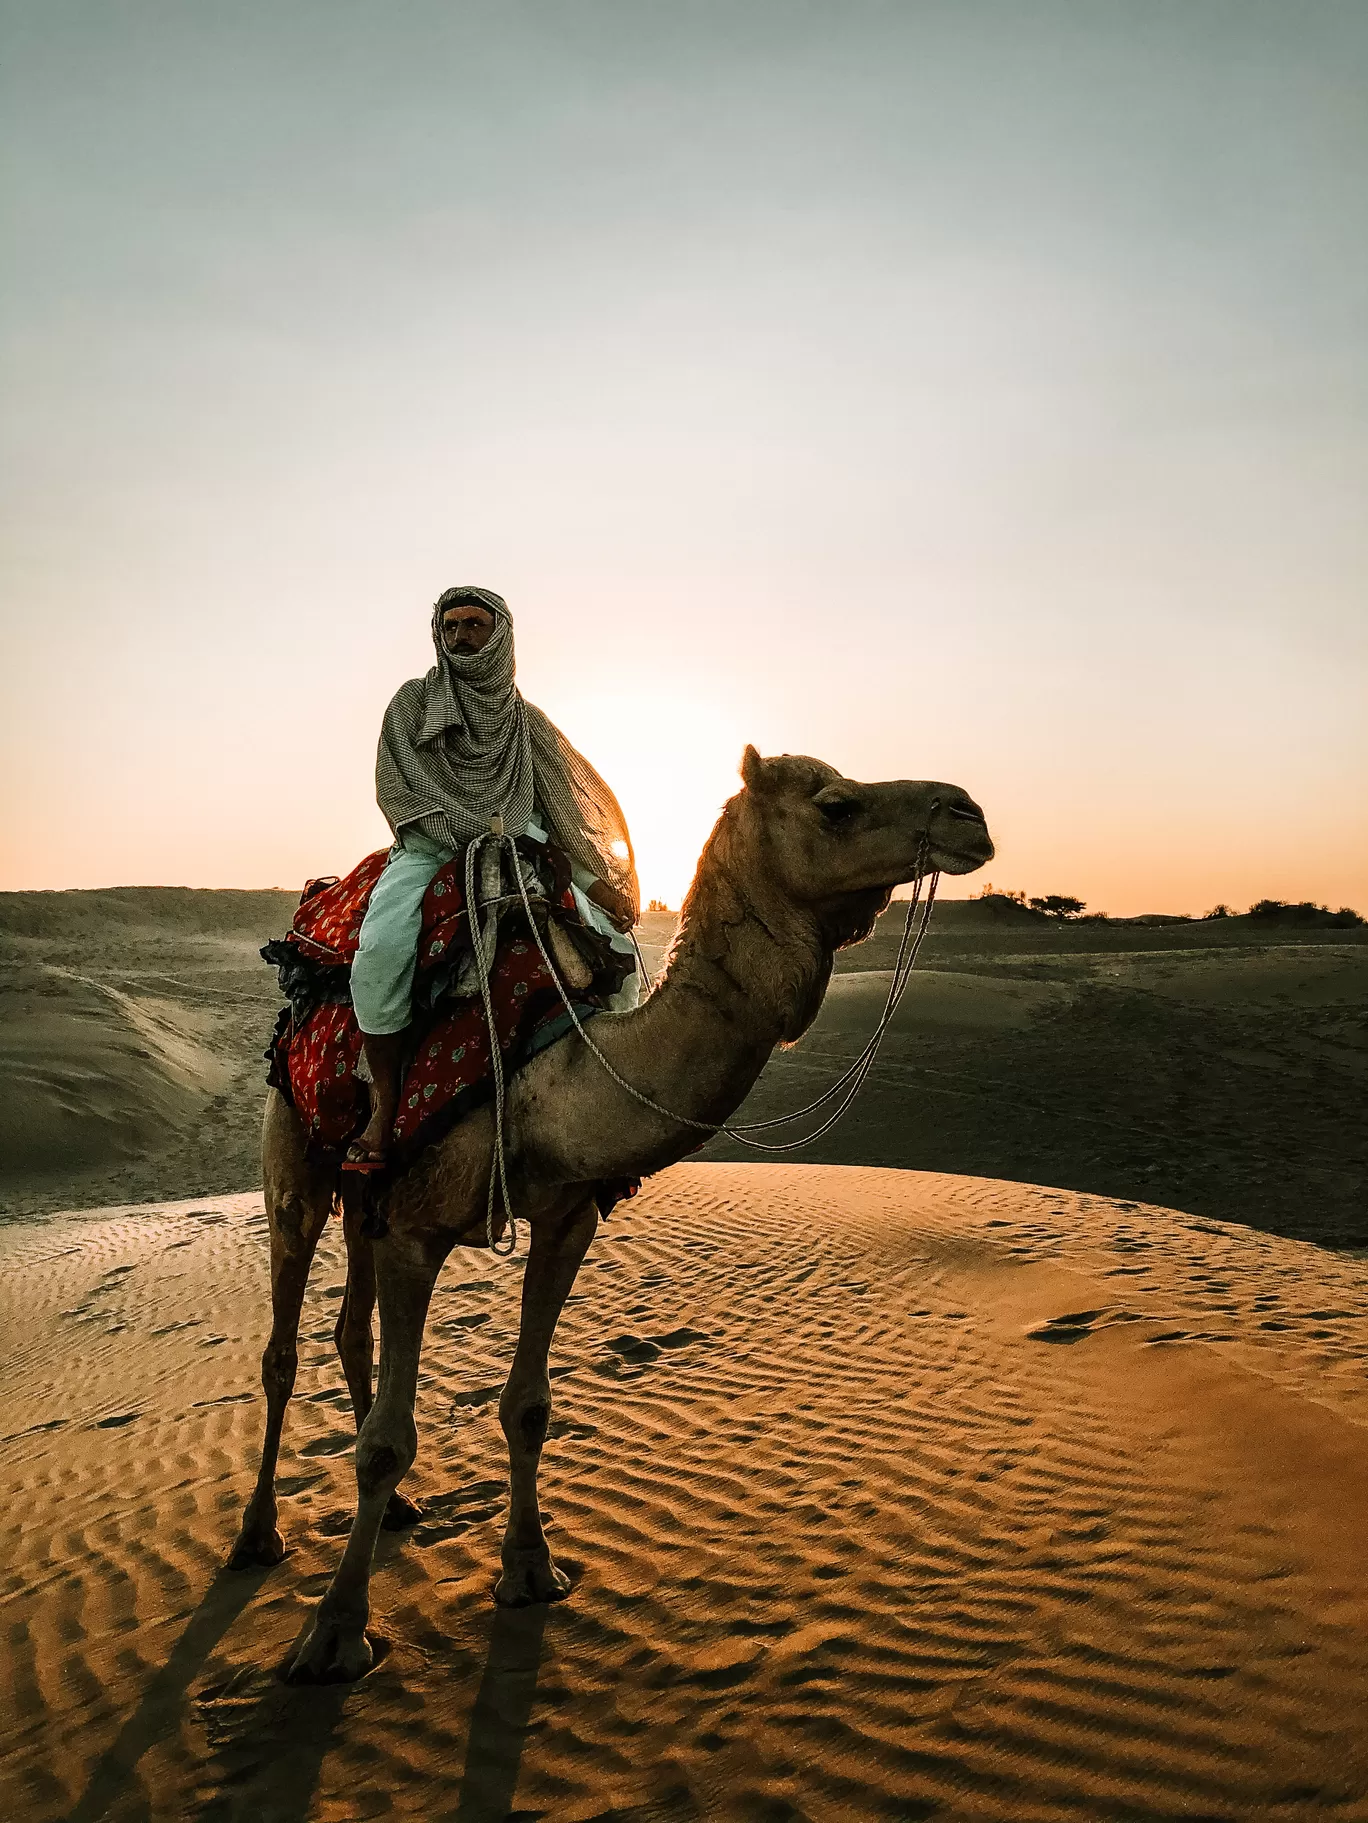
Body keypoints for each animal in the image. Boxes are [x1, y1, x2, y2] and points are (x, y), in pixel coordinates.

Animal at [230, 743, 992, 1677]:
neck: (548, 1078)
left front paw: (530, 1570)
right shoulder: (417, 1228)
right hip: (295, 1160)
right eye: (836, 804)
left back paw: (402, 1514)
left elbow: (529, 1405)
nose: (968, 815)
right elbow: (382, 1443)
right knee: (283, 1345)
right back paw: (256, 1534)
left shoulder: (566, 1219)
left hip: (365, 1195)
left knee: (349, 1330)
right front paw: (336, 1633)